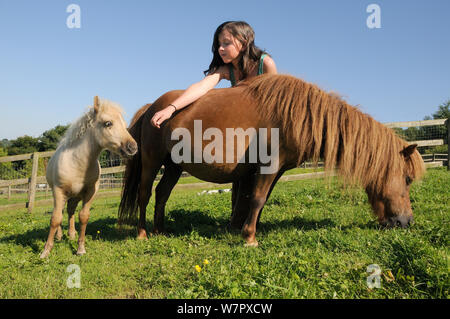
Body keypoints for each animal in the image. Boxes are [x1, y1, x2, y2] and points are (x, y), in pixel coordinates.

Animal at [40, 96, 137, 258]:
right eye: (108, 123)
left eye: (124, 125)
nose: (133, 147)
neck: (76, 163)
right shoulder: (59, 191)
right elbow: (55, 219)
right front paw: (45, 251)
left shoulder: (91, 191)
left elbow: (83, 217)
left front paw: (80, 248)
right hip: (61, 194)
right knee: (61, 212)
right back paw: (59, 236)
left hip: (76, 195)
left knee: (70, 210)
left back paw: (71, 234)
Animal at [117, 74, 426, 248]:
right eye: (408, 179)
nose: (406, 221)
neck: (299, 115)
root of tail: (152, 108)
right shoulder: (268, 165)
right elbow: (256, 199)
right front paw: (250, 238)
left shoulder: (276, 171)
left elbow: (259, 200)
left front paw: (247, 230)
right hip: (152, 162)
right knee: (145, 194)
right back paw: (143, 233)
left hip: (174, 167)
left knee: (162, 194)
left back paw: (160, 230)